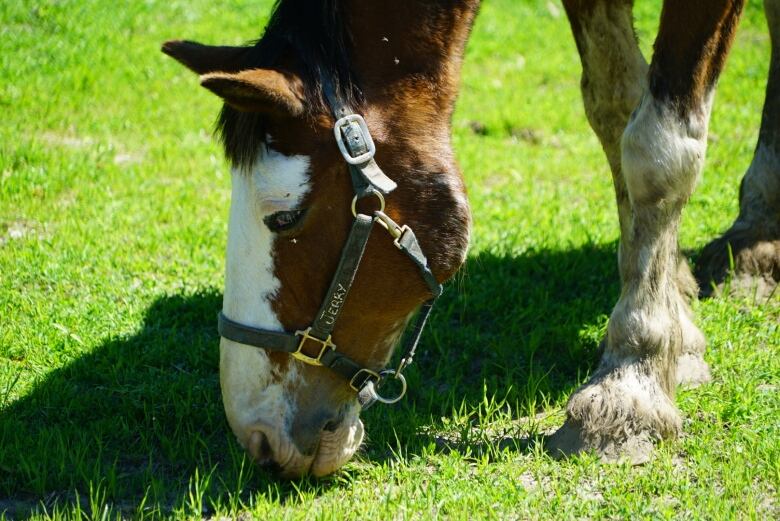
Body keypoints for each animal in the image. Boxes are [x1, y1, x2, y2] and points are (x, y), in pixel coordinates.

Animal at [161, 0, 776, 478]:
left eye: (285, 219)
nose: (257, 434)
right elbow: (616, 108)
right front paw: (677, 321)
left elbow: (656, 150)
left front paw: (633, 380)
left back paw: (756, 243)